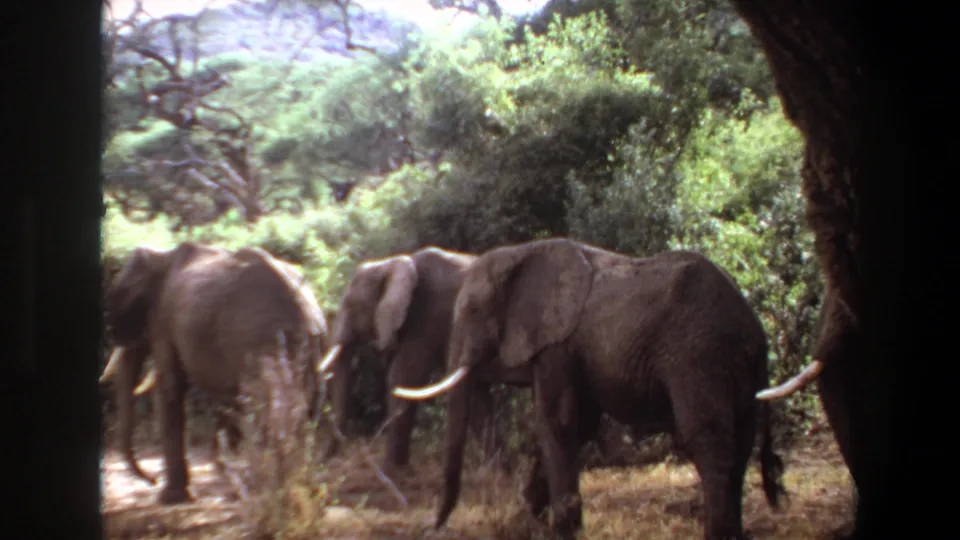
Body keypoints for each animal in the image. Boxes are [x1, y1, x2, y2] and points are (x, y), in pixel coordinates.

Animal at [100, 241, 328, 505]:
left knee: (268, 407)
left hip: (264, 342)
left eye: (125, 301)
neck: (161, 255)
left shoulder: (164, 319)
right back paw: (303, 490)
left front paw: (171, 498)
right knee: (306, 407)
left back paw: (273, 491)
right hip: (312, 346)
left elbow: (170, 389)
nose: (152, 479)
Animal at [316, 247, 508, 474]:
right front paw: (499, 474)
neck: (392, 262)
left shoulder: (428, 316)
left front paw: (391, 472)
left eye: (350, 306)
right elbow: (476, 395)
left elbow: (402, 377)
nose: (324, 462)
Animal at [393, 237, 786, 540]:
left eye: (474, 310)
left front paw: (559, 529)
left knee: (708, 440)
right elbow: (576, 425)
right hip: (734, 369)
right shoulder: (570, 351)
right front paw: (534, 513)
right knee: (742, 441)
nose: (432, 528)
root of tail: (754, 328)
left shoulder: (557, 345)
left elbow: (558, 423)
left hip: (700, 357)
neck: (522, 252)